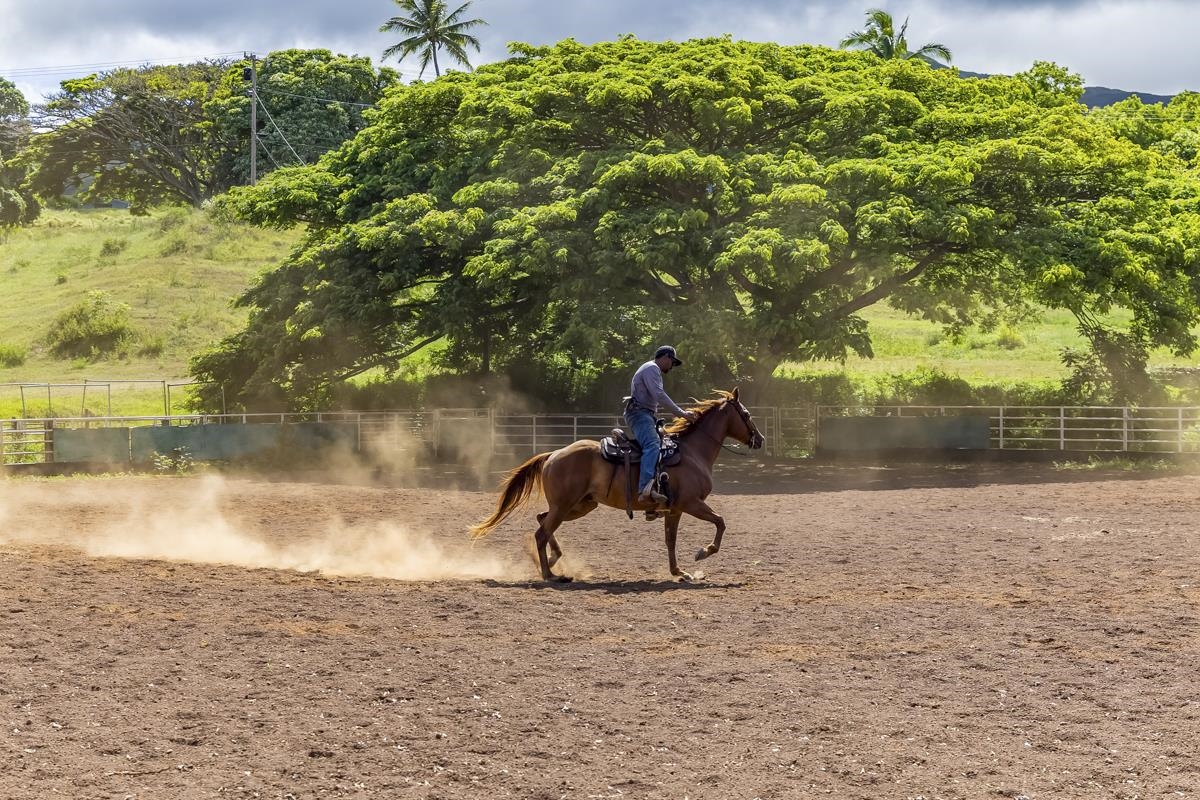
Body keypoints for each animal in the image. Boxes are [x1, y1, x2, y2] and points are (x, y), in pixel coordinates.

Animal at [468, 388, 758, 582]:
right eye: (746, 414)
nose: (760, 439)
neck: (691, 451)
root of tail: (553, 455)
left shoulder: (674, 509)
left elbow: (670, 540)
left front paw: (680, 572)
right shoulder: (691, 503)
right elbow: (720, 522)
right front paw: (703, 552)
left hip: (580, 505)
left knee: (542, 521)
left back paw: (552, 560)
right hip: (565, 506)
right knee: (541, 532)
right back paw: (551, 575)